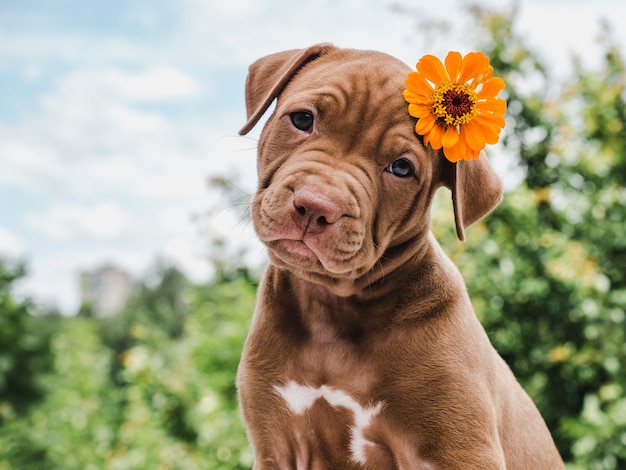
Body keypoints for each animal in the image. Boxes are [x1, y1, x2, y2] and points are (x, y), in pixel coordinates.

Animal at [236, 44, 564, 470]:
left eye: (401, 168)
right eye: (302, 119)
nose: (315, 206)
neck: (334, 308)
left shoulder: (459, 450)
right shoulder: (277, 446)